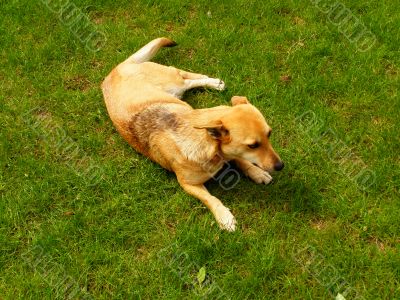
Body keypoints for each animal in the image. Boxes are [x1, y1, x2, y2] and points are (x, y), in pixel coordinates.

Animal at [101, 37, 282, 230]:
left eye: (269, 134)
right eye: (253, 145)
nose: (281, 166)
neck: (211, 149)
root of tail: (117, 69)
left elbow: (242, 161)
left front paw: (257, 173)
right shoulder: (188, 184)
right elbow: (211, 198)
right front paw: (224, 216)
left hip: (174, 86)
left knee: (186, 77)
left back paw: (214, 83)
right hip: (173, 84)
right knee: (184, 78)